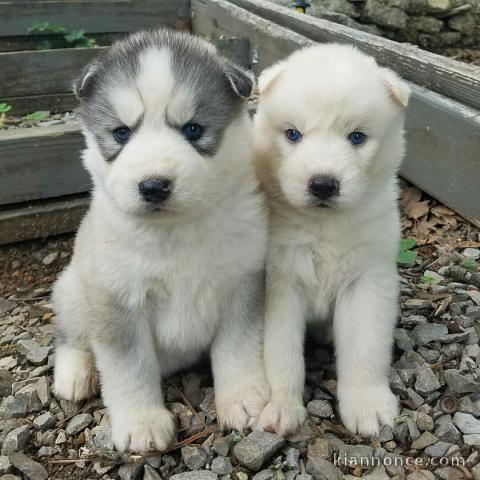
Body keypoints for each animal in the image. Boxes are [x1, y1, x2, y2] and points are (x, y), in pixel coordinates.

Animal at [54, 31, 270, 454]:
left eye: (193, 130)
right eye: (121, 133)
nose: (153, 186)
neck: (175, 231)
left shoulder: (244, 282)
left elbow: (236, 347)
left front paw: (241, 398)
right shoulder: (118, 298)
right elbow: (129, 365)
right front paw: (141, 422)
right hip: (73, 289)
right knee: (72, 337)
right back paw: (75, 373)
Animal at [253, 43, 410, 436]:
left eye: (357, 137)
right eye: (293, 134)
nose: (323, 184)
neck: (324, 226)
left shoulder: (367, 281)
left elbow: (365, 348)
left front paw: (367, 405)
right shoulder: (280, 284)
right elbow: (281, 351)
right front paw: (282, 406)